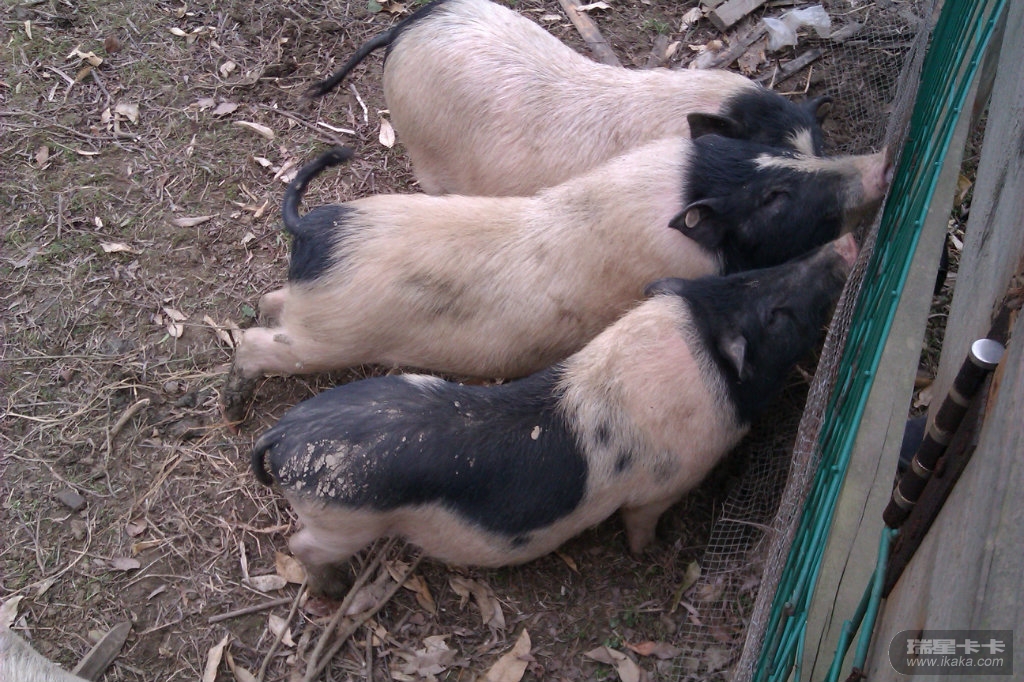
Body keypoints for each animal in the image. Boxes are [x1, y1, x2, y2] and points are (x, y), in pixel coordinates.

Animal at [221, 135, 889, 422]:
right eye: (774, 197)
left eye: (788, 156)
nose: (883, 163)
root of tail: (313, 233)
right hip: (327, 335)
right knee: (257, 342)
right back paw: (232, 408)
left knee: (269, 302)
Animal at [251, 234, 858, 595]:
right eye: (777, 316)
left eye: (739, 280)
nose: (845, 245)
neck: (698, 348)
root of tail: (282, 434)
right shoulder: (665, 482)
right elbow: (641, 522)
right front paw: (652, 553)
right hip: (340, 519)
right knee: (302, 546)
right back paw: (329, 589)